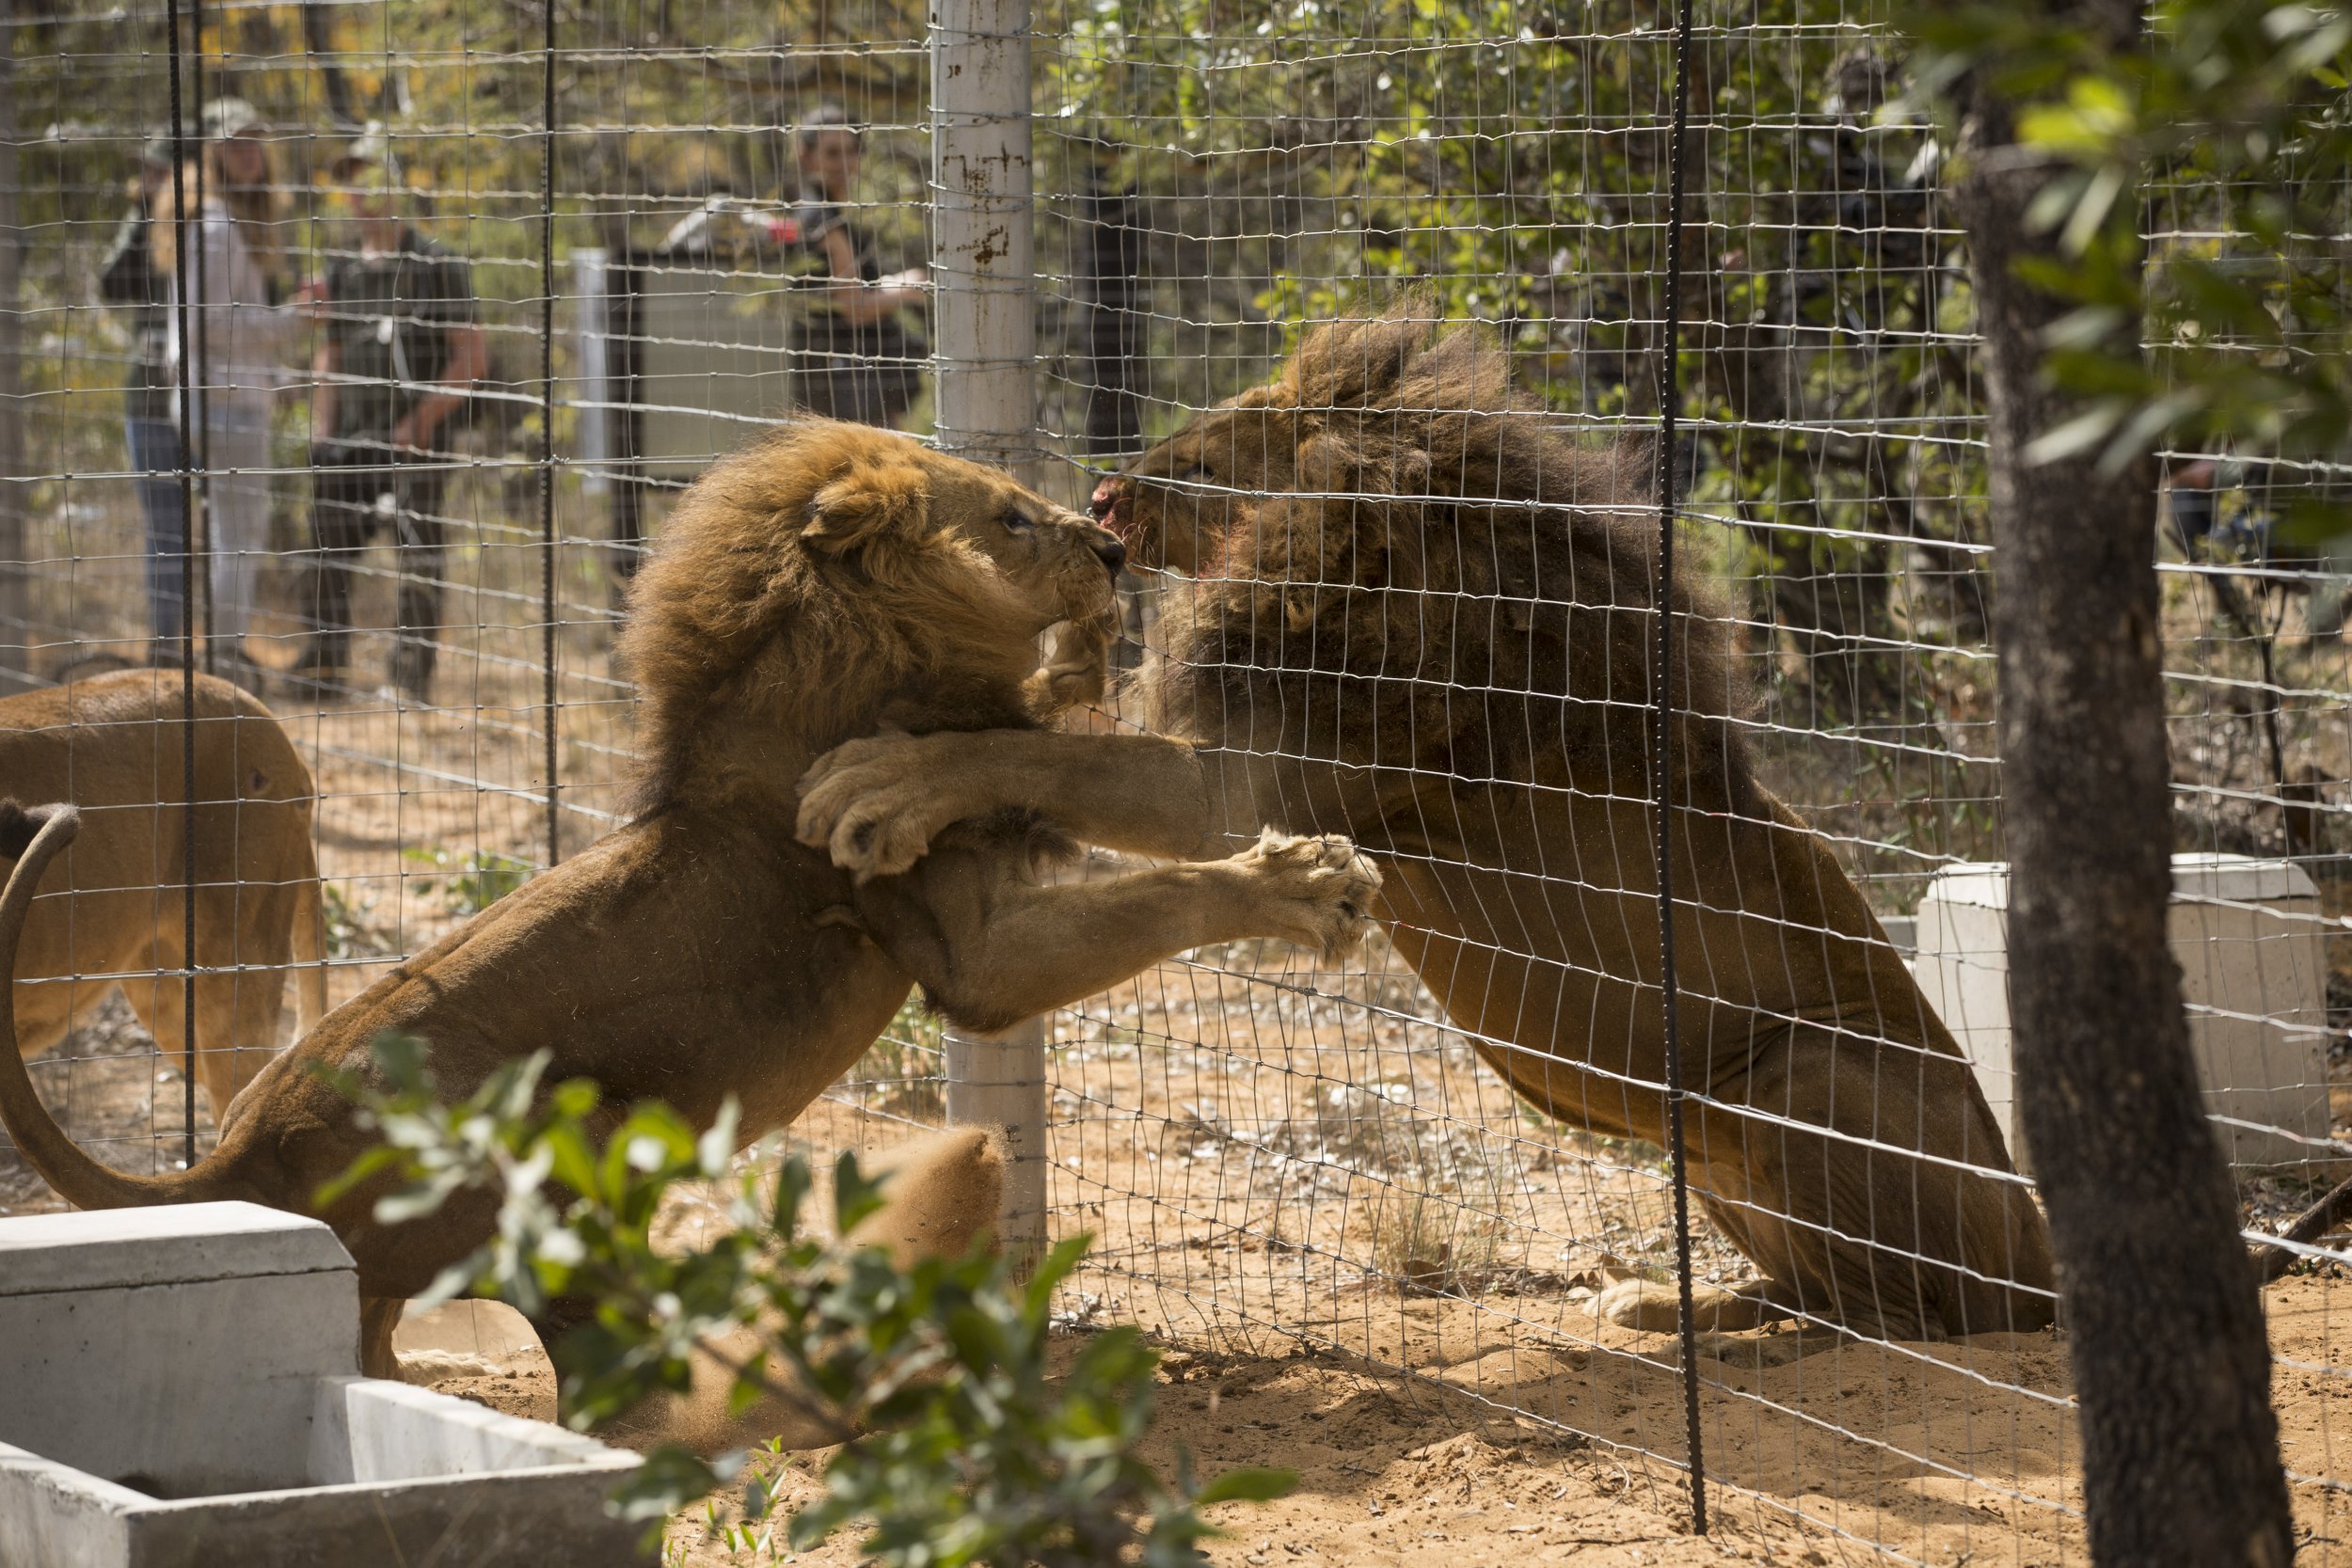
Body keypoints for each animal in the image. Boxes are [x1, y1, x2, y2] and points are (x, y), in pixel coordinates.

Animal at [0, 420, 1374, 1382]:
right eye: (1006, 515)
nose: (1111, 547)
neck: (859, 645)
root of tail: (238, 1149)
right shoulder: (971, 950)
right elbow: (1165, 887)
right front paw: (1312, 880)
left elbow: (1068, 757)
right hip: (565, 1140)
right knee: (600, 1367)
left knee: (385, 1349)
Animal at [804, 312, 2060, 1354]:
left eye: (1210, 459)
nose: (1107, 500)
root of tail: (2045, 1266)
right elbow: (1045, 739)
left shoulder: (1246, 784)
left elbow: (1041, 758)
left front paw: (883, 778)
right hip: (1709, 1153)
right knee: (1822, 1287)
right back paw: (1665, 1304)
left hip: (1797, 1075)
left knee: (1908, 1320)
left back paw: (1743, 1340)